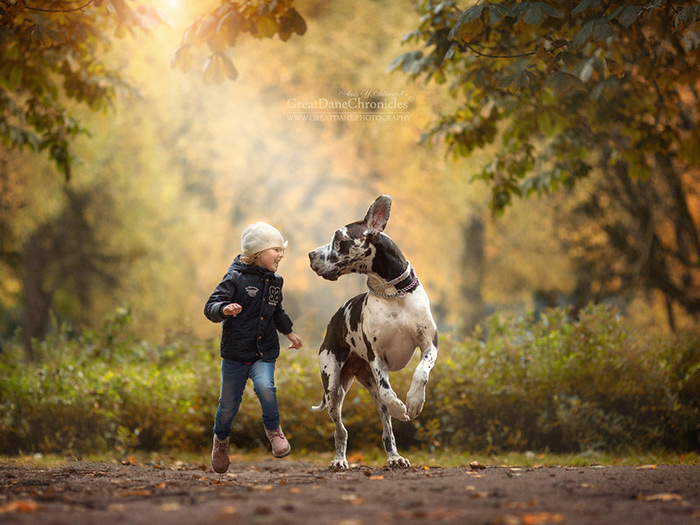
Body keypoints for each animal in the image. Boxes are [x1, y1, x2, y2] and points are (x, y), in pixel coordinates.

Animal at [308, 193, 438, 466]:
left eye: (339, 238)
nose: (310, 254)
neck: (393, 293)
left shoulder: (430, 344)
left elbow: (421, 372)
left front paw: (414, 402)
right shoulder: (377, 357)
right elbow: (389, 394)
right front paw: (401, 408)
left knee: (386, 428)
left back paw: (395, 457)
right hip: (333, 385)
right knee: (341, 428)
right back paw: (339, 459)